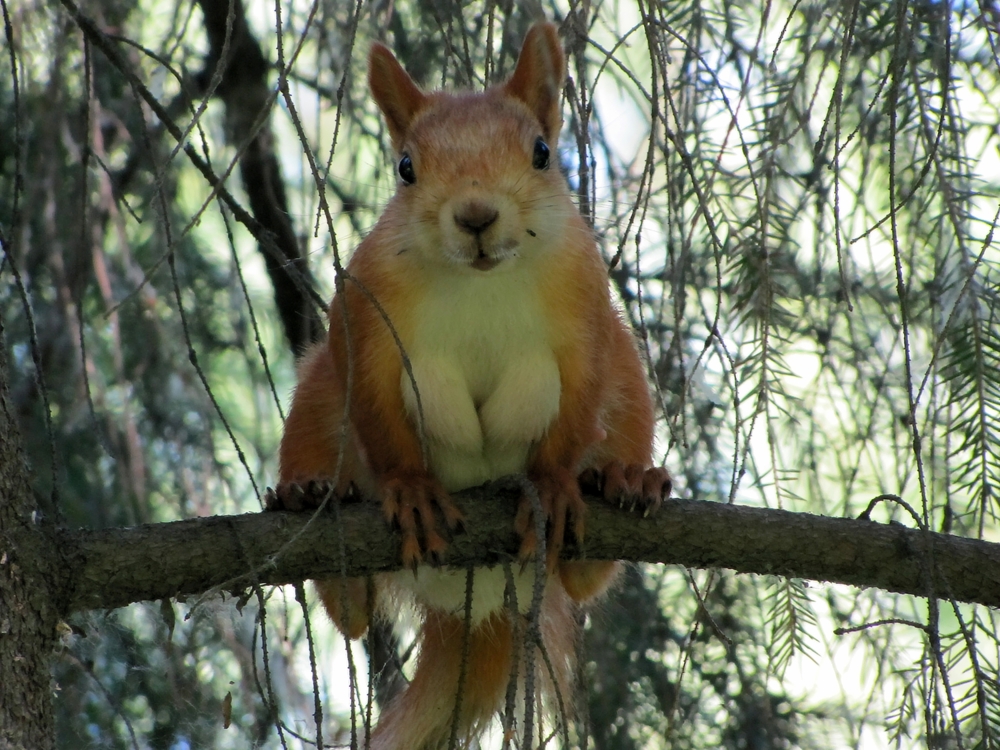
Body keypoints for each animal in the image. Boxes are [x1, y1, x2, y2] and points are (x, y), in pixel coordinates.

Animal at [270, 22, 668, 750]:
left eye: (541, 152)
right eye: (405, 167)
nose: (476, 215)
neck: (483, 281)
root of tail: (476, 601)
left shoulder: (587, 319)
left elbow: (577, 406)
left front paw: (554, 485)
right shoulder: (366, 321)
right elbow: (377, 411)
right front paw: (410, 488)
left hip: (629, 390)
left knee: (584, 577)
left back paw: (629, 480)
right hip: (316, 401)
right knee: (351, 612)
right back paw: (313, 503)